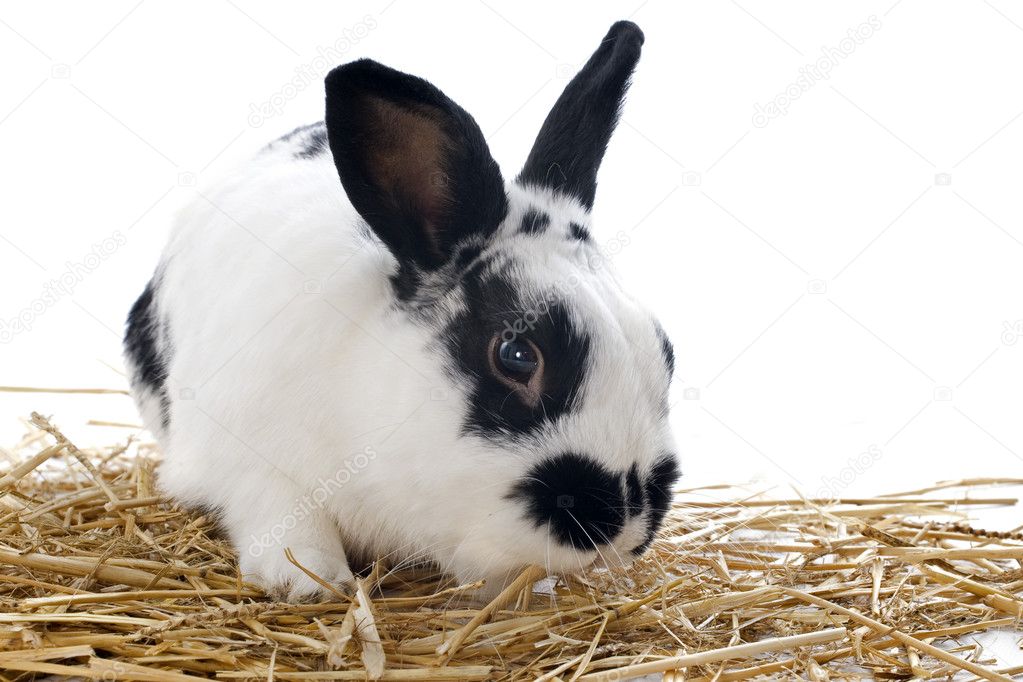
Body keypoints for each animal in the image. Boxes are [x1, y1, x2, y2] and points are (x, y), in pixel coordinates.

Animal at [124, 20, 680, 601]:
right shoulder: (248, 463)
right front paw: (313, 583)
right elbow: (287, 518)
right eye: (517, 355)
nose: (624, 522)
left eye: (665, 354)